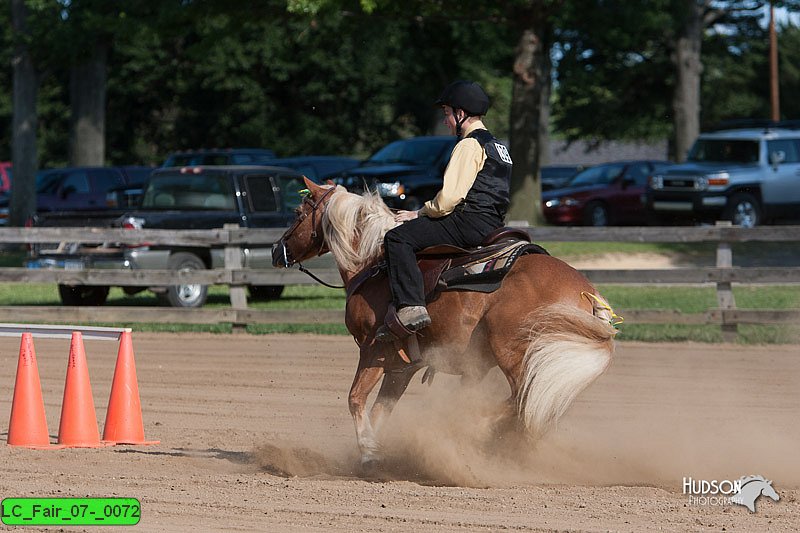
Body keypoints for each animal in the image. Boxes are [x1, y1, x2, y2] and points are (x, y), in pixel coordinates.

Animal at [274, 178, 620, 466]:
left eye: (297, 212)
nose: (278, 250)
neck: (373, 263)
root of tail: (587, 293)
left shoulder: (373, 349)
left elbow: (356, 399)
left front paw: (369, 454)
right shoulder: (402, 366)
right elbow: (381, 409)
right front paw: (376, 451)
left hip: (516, 355)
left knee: (524, 403)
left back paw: (477, 429)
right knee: (534, 408)